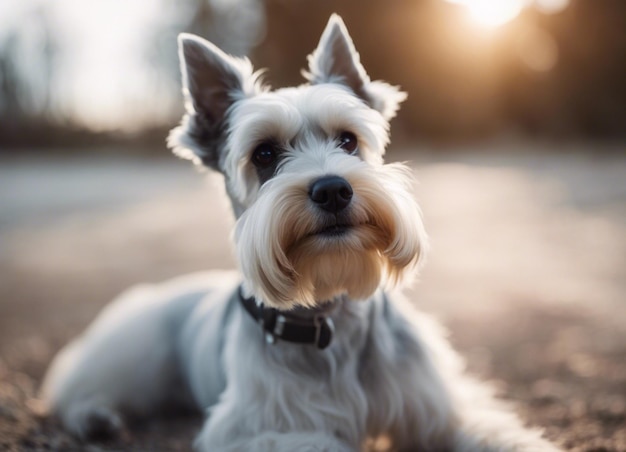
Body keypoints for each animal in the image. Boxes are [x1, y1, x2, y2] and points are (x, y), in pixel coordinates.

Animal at [39, 15, 556, 452]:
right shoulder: (253, 430)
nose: (332, 190)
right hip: (131, 356)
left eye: (348, 140)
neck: (329, 316)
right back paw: (95, 418)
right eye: (265, 154)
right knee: (73, 388)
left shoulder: (440, 409)